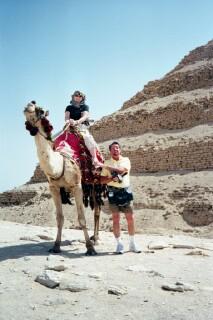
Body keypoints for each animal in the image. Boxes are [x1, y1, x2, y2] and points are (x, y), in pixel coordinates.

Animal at [23, 101, 100, 256]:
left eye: (40, 110)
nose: (30, 104)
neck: (59, 164)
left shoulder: (77, 186)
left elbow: (82, 218)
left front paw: (90, 248)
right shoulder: (54, 188)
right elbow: (59, 218)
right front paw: (56, 246)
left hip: (96, 182)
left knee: (97, 211)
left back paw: (95, 239)